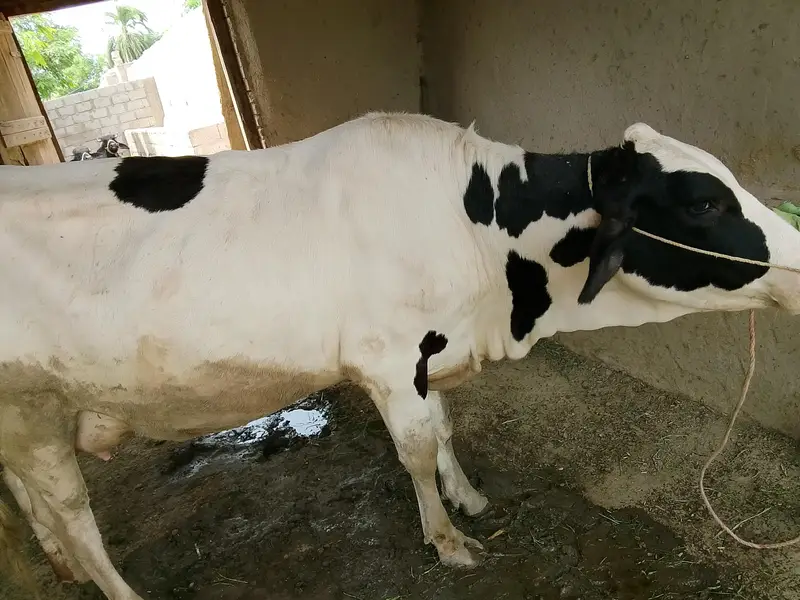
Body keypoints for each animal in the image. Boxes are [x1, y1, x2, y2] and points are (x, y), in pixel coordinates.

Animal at [0, 112, 798, 600]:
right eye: (704, 205)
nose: (798, 261)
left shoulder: (429, 350)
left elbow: (442, 427)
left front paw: (468, 497)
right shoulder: (389, 359)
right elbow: (414, 450)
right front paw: (446, 539)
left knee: (32, 501)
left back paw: (62, 566)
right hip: (31, 411)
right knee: (71, 510)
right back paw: (112, 584)